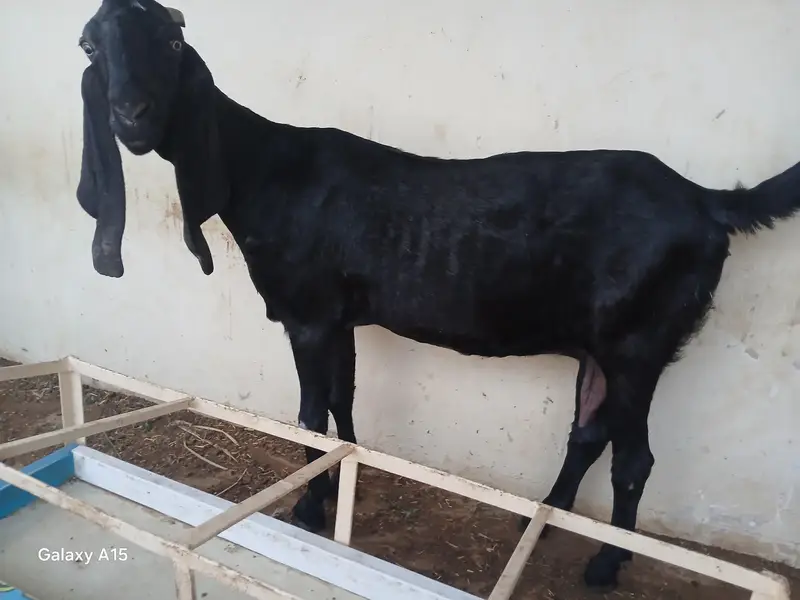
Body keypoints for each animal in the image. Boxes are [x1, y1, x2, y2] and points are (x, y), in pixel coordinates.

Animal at [75, 0, 800, 592]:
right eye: (90, 45)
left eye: (172, 43)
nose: (131, 117)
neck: (267, 168)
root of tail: (706, 201)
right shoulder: (339, 316)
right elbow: (342, 401)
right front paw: (338, 488)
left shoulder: (307, 313)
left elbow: (309, 413)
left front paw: (306, 510)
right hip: (602, 342)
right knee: (588, 434)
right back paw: (547, 521)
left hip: (639, 339)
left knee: (635, 459)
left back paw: (606, 564)